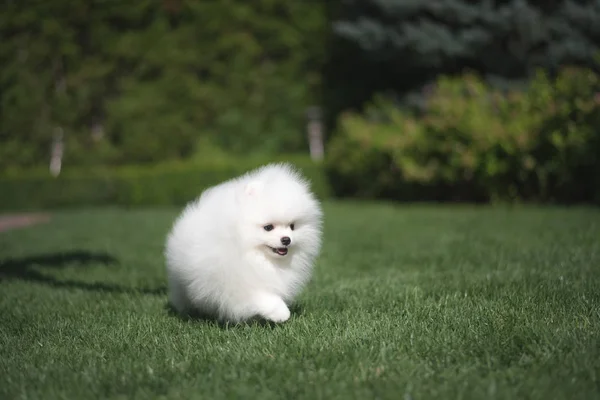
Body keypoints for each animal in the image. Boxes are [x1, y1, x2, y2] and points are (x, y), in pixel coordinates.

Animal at [164, 164, 324, 324]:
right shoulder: (233, 282)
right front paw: (281, 312)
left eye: (292, 226)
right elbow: (260, 296)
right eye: (268, 227)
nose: (286, 239)